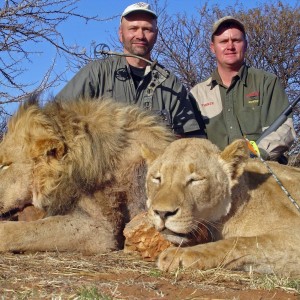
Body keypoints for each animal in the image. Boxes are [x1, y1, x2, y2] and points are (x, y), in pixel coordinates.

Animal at [144, 137, 300, 276]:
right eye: (157, 178)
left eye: (195, 180)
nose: (162, 213)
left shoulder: (293, 235)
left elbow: (237, 242)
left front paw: (179, 255)